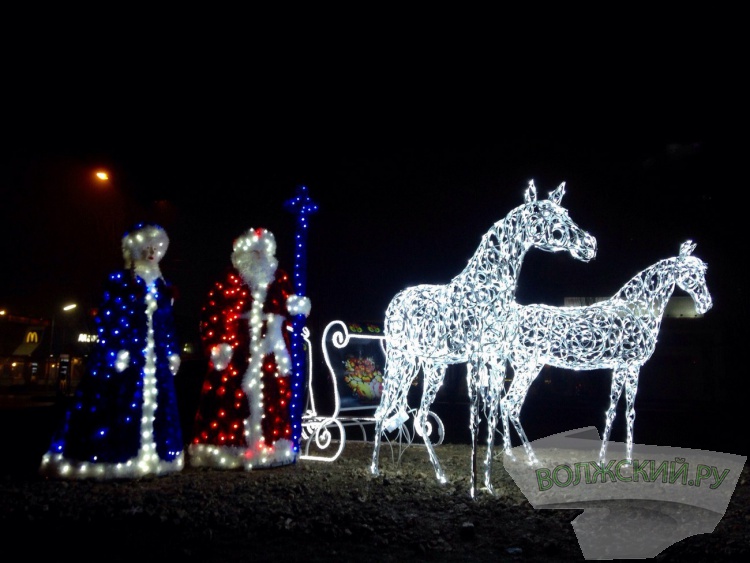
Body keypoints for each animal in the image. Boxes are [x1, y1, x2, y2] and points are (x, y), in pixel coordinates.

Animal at [370, 181, 598, 496]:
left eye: (566, 212)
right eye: (548, 216)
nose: (590, 245)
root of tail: (396, 300)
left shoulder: (496, 359)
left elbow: (491, 417)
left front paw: (488, 484)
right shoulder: (476, 358)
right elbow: (475, 422)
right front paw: (474, 488)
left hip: (430, 365)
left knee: (418, 416)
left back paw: (439, 475)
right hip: (400, 359)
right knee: (382, 411)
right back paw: (375, 469)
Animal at [496, 240, 712, 469]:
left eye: (703, 271)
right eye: (690, 273)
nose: (706, 304)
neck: (638, 312)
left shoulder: (632, 367)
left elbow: (629, 412)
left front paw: (628, 462)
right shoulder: (623, 365)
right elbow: (611, 411)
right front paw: (602, 460)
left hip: (528, 366)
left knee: (506, 402)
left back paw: (510, 455)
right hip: (526, 365)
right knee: (511, 404)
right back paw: (531, 458)